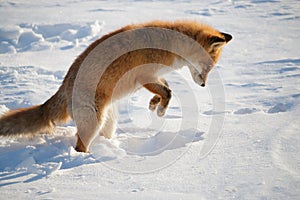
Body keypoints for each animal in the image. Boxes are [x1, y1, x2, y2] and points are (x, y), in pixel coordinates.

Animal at [0, 19, 232, 152]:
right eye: (208, 67)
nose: (203, 85)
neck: (168, 42)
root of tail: (64, 88)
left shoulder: (154, 75)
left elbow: (164, 89)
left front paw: (153, 104)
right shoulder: (143, 75)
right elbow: (168, 91)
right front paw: (160, 110)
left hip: (107, 122)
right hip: (93, 121)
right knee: (79, 145)